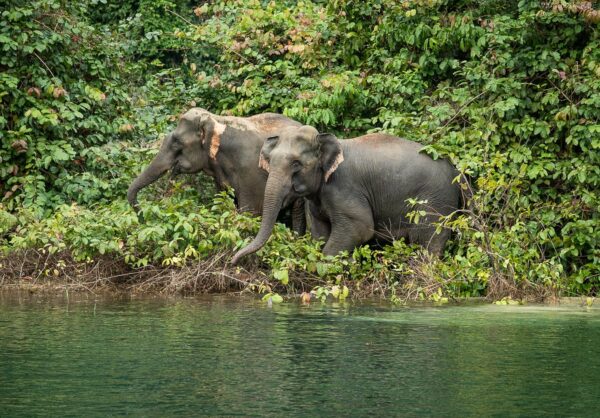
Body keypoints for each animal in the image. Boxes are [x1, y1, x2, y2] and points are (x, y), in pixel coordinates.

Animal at [232, 125, 462, 264]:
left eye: (296, 164)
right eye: (270, 162)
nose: (233, 261)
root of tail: (456, 171)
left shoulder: (344, 188)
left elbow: (359, 228)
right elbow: (319, 232)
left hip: (436, 201)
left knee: (428, 242)